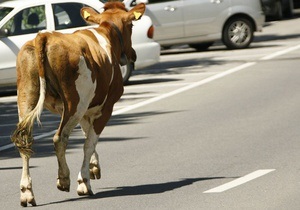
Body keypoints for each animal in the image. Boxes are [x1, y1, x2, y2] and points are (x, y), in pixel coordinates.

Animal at [11, 1, 146, 207]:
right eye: (131, 26)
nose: (133, 55)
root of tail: (44, 36)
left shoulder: (86, 109)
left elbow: (86, 134)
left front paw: (93, 166)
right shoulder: (105, 108)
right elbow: (89, 142)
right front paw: (84, 181)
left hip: (27, 97)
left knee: (24, 139)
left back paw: (27, 193)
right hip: (74, 103)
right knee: (60, 138)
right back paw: (64, 179)